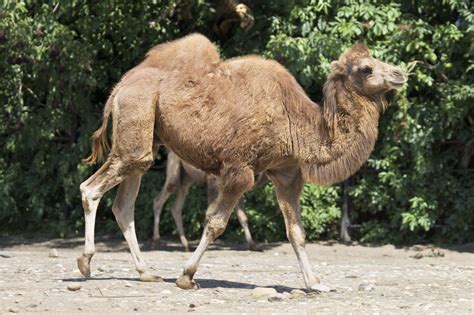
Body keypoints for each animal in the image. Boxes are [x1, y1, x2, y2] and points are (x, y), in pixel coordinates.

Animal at [78, 33, 408, 290]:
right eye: (366, 68)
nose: (400, 74)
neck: (296, 122)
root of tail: (121, 86)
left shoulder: (286, 172)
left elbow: (296, 232)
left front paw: (315, 283)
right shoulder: (239, 169)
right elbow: (216, 222)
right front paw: (187, 276)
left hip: (146, 138)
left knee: (125, 205)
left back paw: (146, 272)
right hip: (136, 123)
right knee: (91, 188)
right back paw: (85, 263)